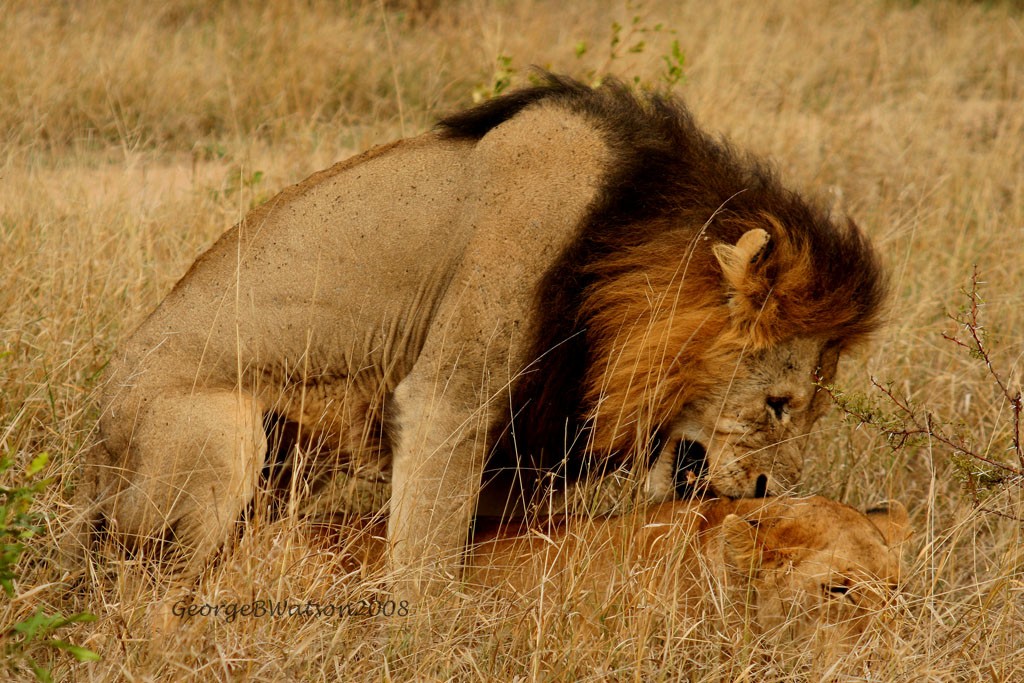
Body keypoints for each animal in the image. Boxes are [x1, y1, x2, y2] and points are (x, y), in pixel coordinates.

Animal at [74, 72, 888, 589]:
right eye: (779, 404)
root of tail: (93, 452)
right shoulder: (450, 397)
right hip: (215, 432)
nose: (768, 492)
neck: (621, 252)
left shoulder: (521, 444)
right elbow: (427, 554)